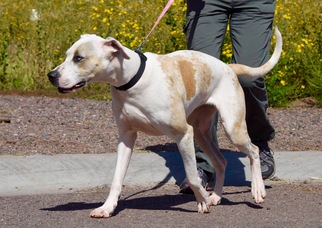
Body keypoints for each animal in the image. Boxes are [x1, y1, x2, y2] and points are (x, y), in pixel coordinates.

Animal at [47, 27, 282, 217]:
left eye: (79, 58)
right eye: (67, 55)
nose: (51, 75)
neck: (132, 80)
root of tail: (228, 67)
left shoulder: (183, 135)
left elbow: (192, 176)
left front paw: (202, 201)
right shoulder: (126, 138)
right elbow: (116, 179)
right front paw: (107, 207)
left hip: (232, 128)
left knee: (253, 150)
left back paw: (257, 190)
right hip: (201, 133)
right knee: (221, 162)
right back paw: (216, 196)